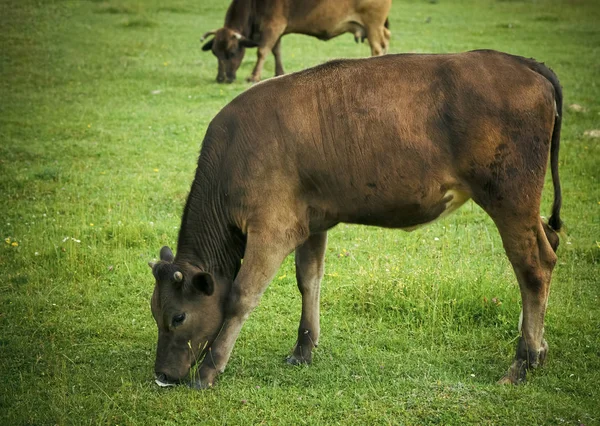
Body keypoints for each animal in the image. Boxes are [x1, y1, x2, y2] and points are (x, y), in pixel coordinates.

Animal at [150, 50, 564, 390]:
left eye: (178, 317)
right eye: (154, 312)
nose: (163, 375)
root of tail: (521, 62)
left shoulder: (272, 227)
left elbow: (241, 295)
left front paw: (209, 370)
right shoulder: (310, 222)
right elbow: (309, 280)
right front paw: (303, 349)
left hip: (510, 198)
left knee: (534, 266)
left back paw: (523, 361)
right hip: (524, 207)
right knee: (549, 242)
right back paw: (539, 348)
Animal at [199, 0, 392, 83]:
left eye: (231, 53)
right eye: (215, 53)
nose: (221, 78)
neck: (254, 4)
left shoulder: (273, 27)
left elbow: (262, 51)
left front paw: (254, 76)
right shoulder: (276, 32)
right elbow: (276, 51)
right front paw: (279, 72)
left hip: (373, 25)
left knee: (376, 47)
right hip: (376, 28)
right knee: (385, 39)